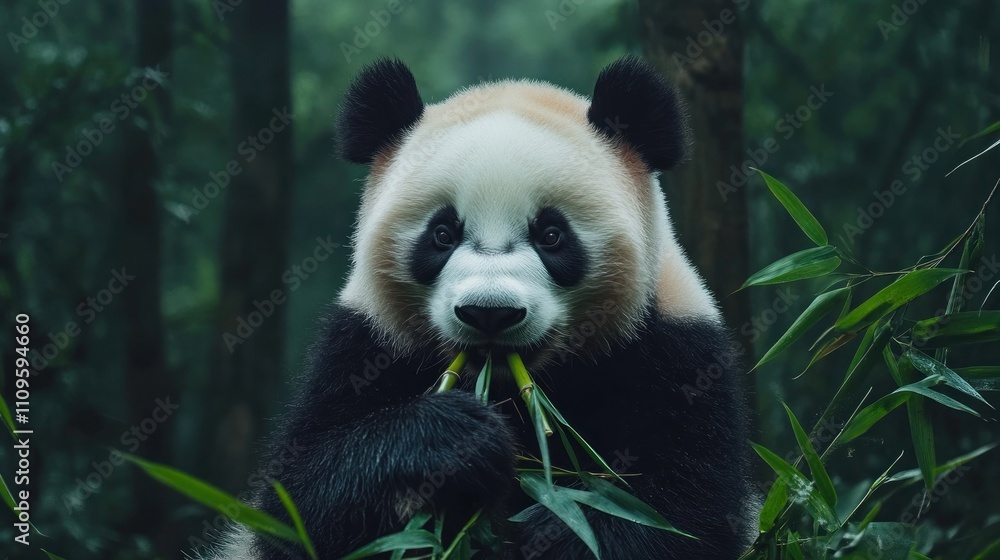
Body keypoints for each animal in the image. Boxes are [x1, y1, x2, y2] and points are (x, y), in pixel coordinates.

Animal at [209, 56, 754, 560]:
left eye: (551, 235)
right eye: (442, 234)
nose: (489, 313)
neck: (509, 387)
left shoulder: (678, 351)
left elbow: (688, 513)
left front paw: (558, 531)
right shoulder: (363, 341)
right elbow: (298, 503)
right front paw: (455, 442)